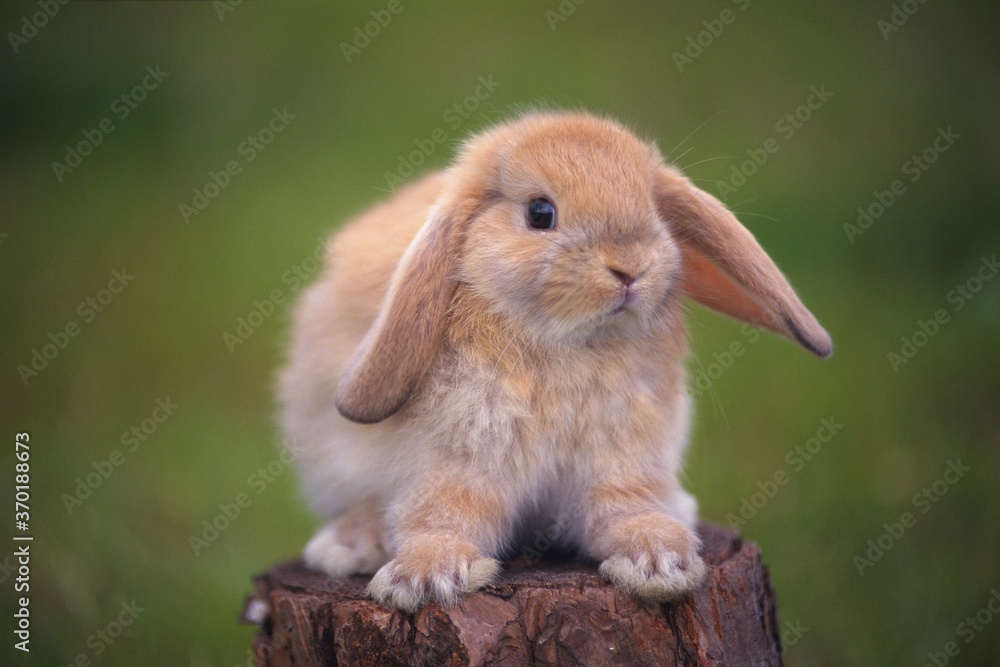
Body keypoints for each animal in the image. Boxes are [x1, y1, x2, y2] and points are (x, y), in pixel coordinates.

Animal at [278, 110, 832, 612]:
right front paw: (421, 580)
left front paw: (661, 563)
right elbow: (443, 516)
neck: (569, 342)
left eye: (654, 208)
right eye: (540, 213)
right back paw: (348, 547)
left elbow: (625, 510)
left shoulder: (622, 458)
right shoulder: (457, 461)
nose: (631, 268)